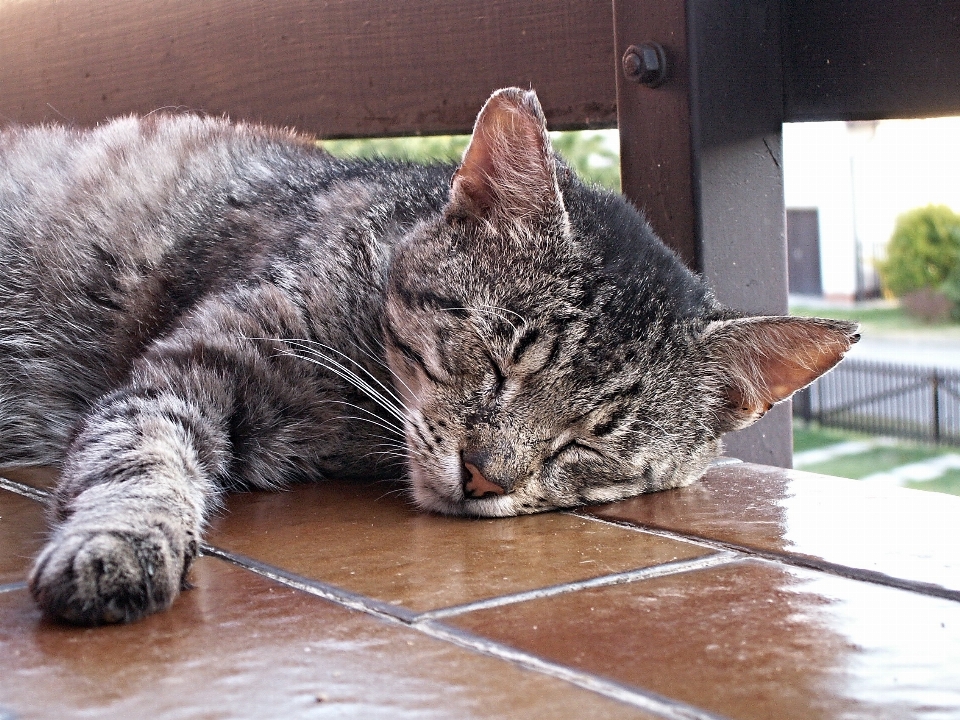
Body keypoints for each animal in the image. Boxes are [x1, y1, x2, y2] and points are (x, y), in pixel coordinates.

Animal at [0, 88, 856, 624]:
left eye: (590, 441)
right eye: (501, 360)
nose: (484, 477)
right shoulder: (193, 363)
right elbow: (138, 452)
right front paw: (117, 542)